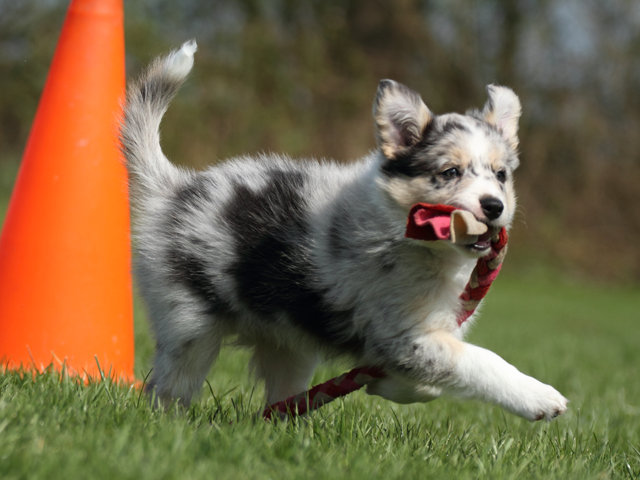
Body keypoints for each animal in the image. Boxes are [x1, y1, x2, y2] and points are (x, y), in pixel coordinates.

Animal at [121, 40, 568, 421]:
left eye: (501, 175)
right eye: (450, 172)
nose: (494, 207)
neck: (414, 240)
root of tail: (175, 188)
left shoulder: (412, 337)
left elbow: (427, 386)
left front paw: (386, 387)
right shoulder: (406, 334)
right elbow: (479, 361)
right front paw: (539, 397)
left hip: (289, 343)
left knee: (283, 396)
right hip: (190, 326)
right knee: (168, 387)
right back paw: (171, 424)